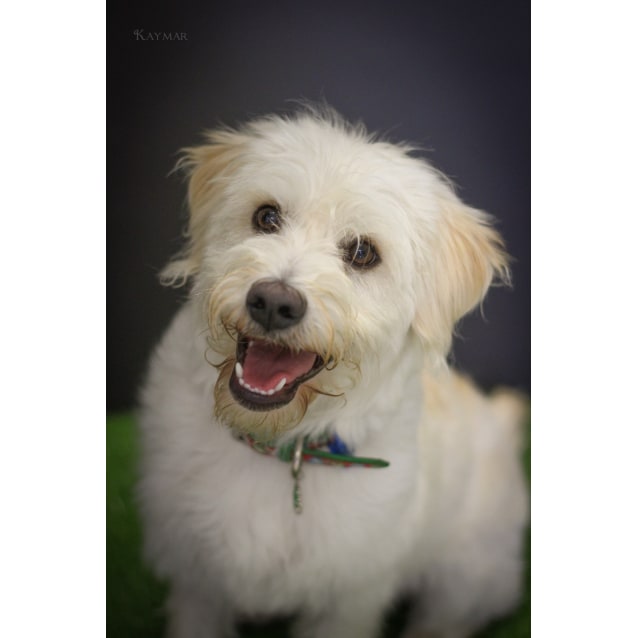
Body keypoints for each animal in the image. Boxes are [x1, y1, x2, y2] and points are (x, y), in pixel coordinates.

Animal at [139, 110, 528, 638]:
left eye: (363, 253)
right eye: (267, 217)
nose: (273, 302)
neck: (280, 452)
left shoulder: (349, 601)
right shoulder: (197, 584)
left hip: (468, 575)